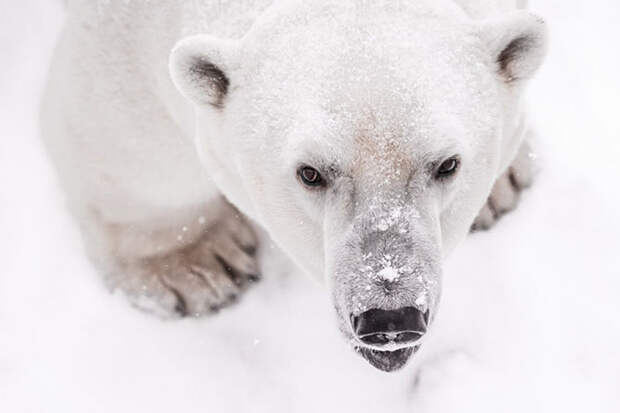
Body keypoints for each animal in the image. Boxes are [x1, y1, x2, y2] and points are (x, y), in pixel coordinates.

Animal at [42, 0, 548, 370]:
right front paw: (196, 268)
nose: (390, 318)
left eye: (447, 165)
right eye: (310, 173)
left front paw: (503, 181)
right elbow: (127, 143)